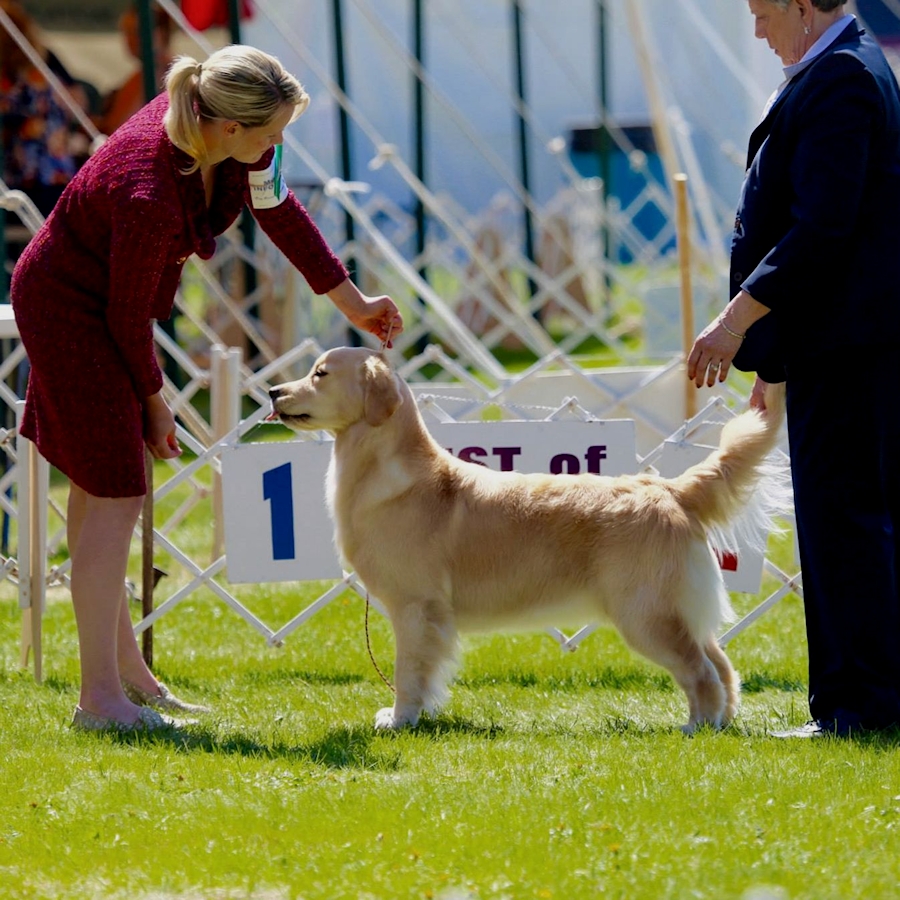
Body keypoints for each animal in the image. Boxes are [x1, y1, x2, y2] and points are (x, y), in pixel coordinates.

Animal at [268, 348, 788, 736]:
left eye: (319, 374)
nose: (272, 391)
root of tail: (669, 489)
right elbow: (427, 672)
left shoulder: (416, 607)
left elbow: (408, 671)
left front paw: (400, 720)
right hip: (670, 610)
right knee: (722, 665)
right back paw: (722, 722)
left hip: (644, 614)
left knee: (701, 672)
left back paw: (698, 726)